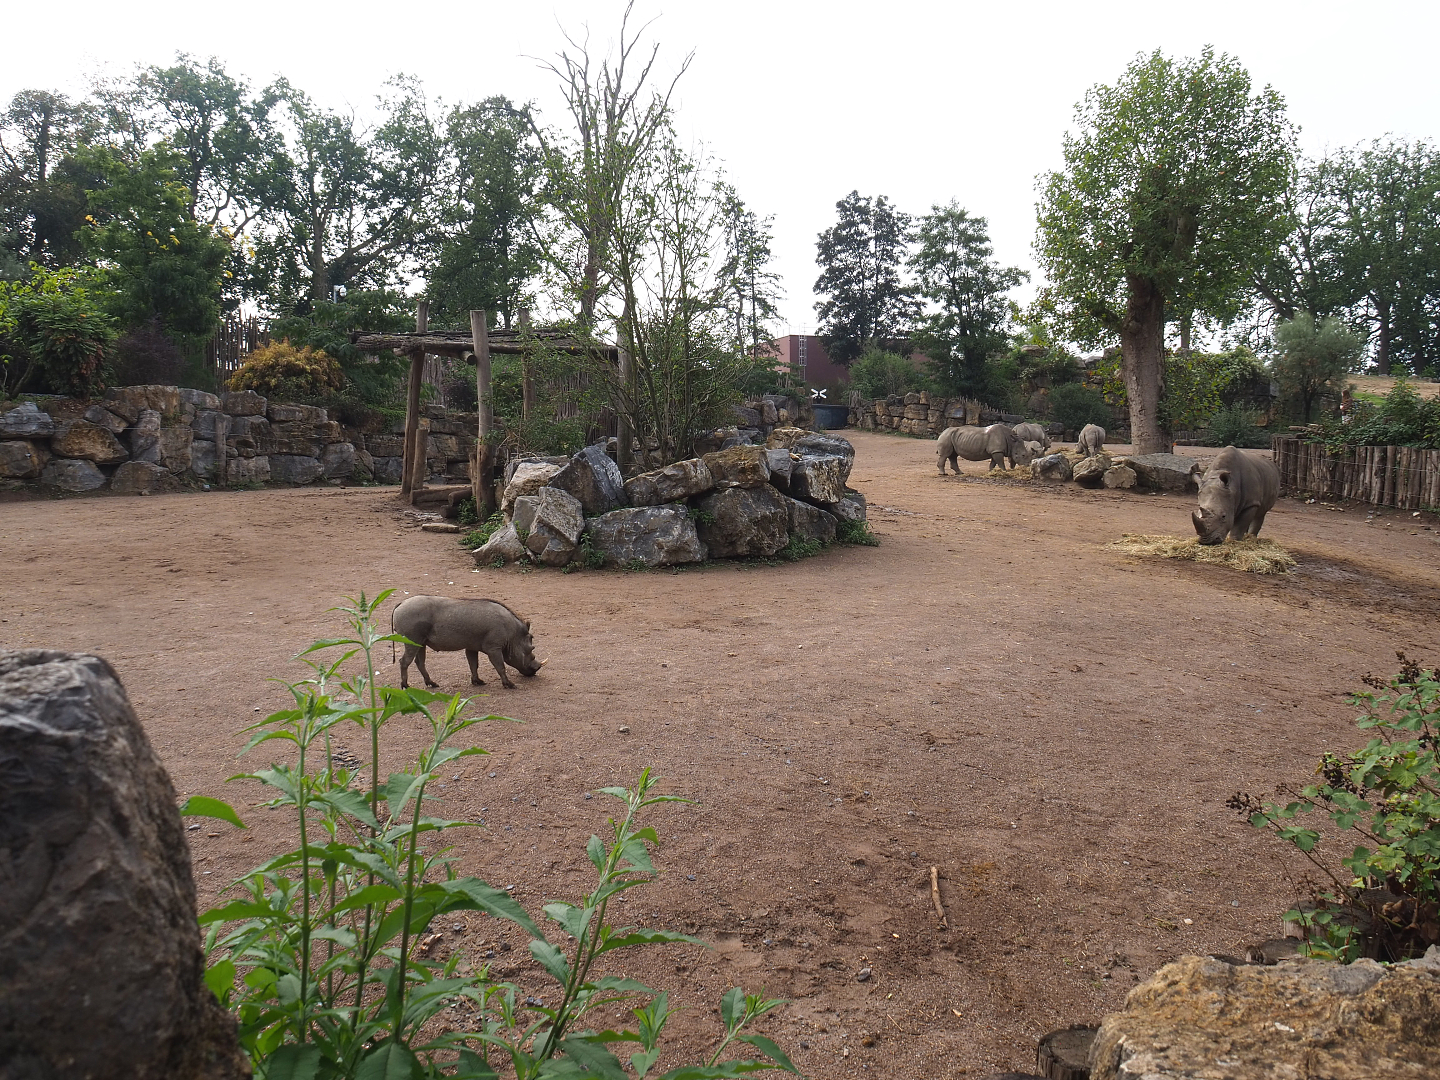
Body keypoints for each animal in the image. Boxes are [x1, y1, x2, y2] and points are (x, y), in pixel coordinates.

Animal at [391, 594, 545, 689]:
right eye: (531, 644)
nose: (537, 668)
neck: (511, 633)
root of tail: (401, 603)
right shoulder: (494, 649)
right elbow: (500, 666)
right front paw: (509, 685)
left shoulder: (472, 648)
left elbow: (473, 665)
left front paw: (478, 682)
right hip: (412, 641)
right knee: (404, 661)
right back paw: (405, 686)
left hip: (421, 643)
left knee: (419, 662)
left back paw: (432, 683)